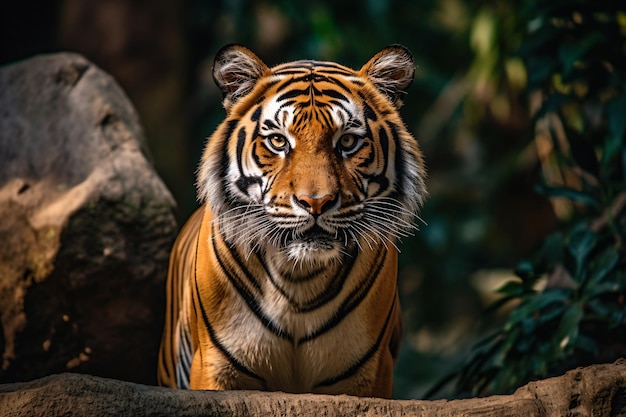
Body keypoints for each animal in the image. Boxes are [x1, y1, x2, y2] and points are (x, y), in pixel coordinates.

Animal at [158, 44, 426, 398]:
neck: (300, 278)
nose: (316, 203)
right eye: (279, 141)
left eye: (347, 142)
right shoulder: (214, 367)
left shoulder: (369, 374)